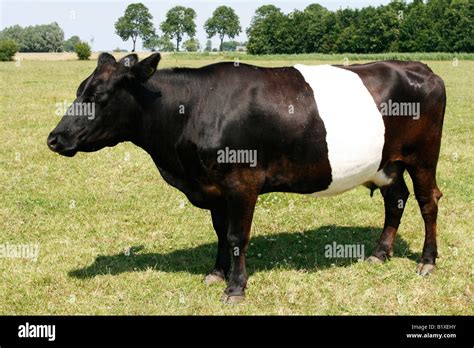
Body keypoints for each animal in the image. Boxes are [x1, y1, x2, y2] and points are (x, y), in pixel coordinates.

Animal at [46, 53, 446, 304]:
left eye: (98, 94)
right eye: (79, 89)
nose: (55, 138)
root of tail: (420, 67)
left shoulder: (241, 182)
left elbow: (239, 235)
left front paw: (235, 289)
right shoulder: (213, 186)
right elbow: (222, 233)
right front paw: (217, 274)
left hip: (423, 156)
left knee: (428, 201)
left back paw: (427, 261)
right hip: (386, 163)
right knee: (396, 200)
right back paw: (379, 254)